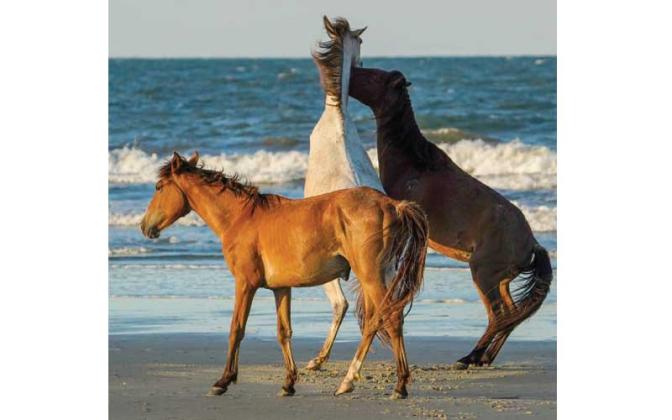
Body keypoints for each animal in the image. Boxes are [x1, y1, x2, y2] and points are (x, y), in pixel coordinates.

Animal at [140, 152, 428, 399]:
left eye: (158, 187)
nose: (144, 226)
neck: (241, 218)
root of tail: (392, 204)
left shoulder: (245, 284)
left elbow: (236, 328)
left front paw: (223, 381)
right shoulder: (281, 288)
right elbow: (283, 332)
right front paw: (288, 382)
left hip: (370, 276)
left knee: (390, 319)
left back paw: (391, 385)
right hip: (378, 277)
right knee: (379, 321)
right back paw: (353, 381)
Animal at [347, 66, 553, 369]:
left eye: (374, 76)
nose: (348, 73)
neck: (414, 161)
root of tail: (531, 243)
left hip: (483, 274)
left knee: (499, 316)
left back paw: (470, 357)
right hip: (500, 280)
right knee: (510, 316)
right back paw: (484, 358)